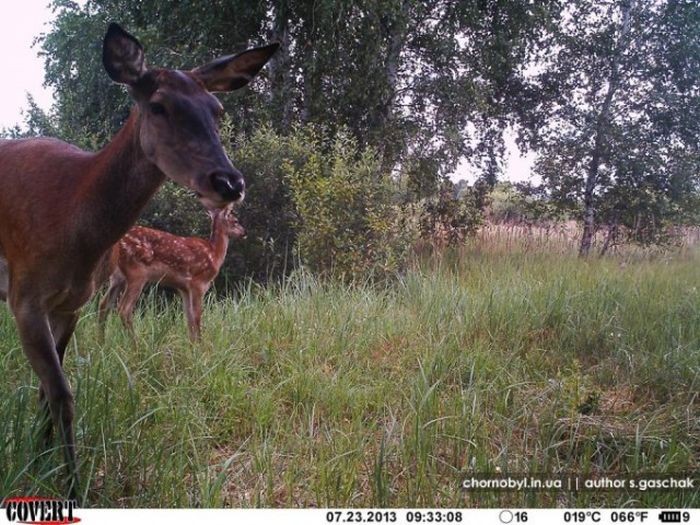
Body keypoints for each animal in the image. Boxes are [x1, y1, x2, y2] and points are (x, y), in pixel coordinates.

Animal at [98, 205, 246, 340]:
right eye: (235, 221)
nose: (244, 232)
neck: (214, 255)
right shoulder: (198, 283)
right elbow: (197, 316)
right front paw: (200, 346)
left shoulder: (184, 288)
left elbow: (189, 319)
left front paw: (192, 346)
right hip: (136, 273)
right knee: (124, 309)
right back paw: (136, 344)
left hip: (118, 277)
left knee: (104, 304)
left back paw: (101, 342)